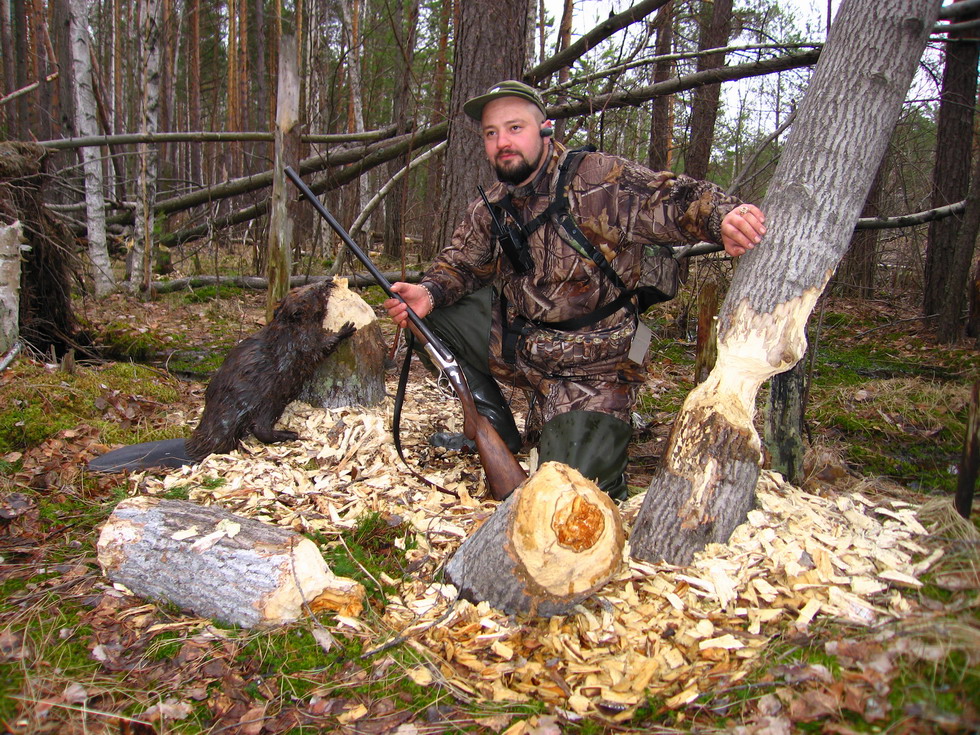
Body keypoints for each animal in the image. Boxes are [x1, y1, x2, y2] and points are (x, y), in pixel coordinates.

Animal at [88, 282, 356, 472]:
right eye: (313, 291)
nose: (327, 282)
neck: (285, 329)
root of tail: (192, 447)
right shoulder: (299, 343)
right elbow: (319, 347)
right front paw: (347, 327)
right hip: (269, 400)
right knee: (260, 429)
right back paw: (290, 434)